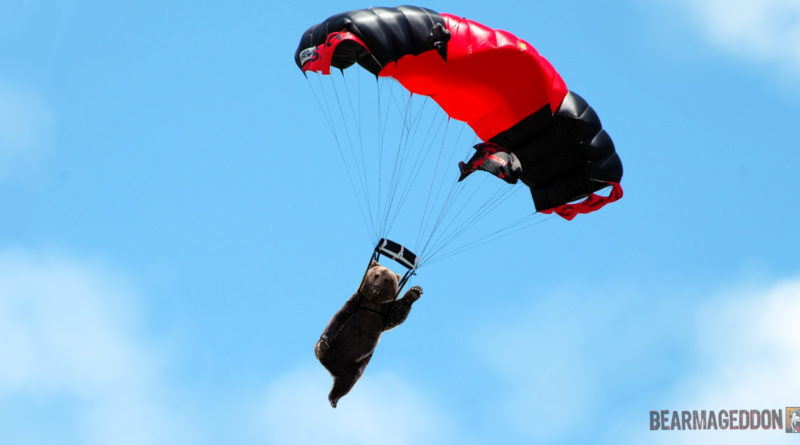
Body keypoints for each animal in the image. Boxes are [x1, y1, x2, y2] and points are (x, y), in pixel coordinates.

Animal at [314, 258, 424, 408]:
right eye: (376, 275)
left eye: (387, 279)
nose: (376, 287)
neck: (373, 302)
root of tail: (331, 367)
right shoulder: (356, 303)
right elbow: (339, 317)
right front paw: (323, 344)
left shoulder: (383, 312)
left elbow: (396, 316)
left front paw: (415, 291)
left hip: (358, 364)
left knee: (347, 381)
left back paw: (334, 398)